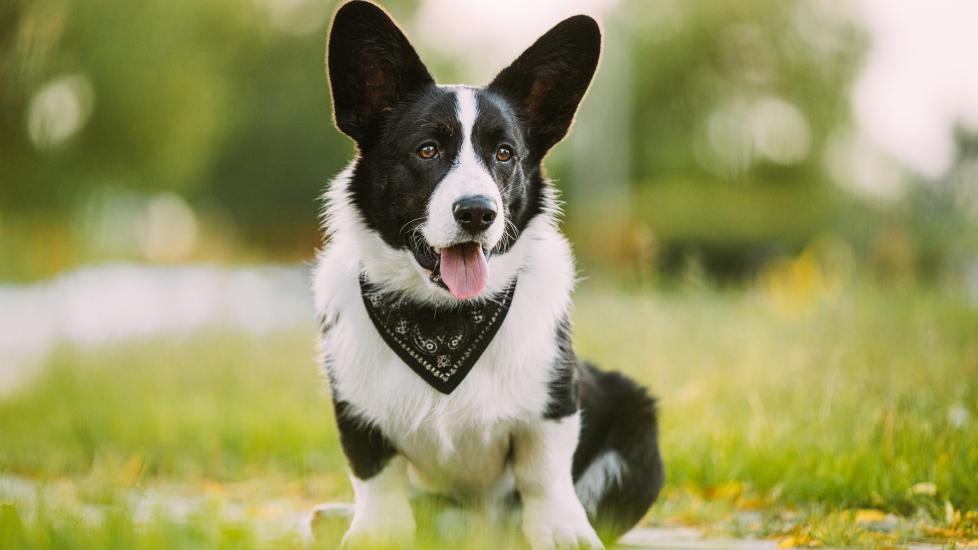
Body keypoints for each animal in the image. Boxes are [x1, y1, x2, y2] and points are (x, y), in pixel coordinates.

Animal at [312, 2, 664, 548]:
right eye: (427, 150)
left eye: (504, 154)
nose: (477, 212)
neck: (442, 318)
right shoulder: (355, 406)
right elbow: (376, 475)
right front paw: (377, 532)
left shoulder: (554, 400)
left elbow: (544, 471)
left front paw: (561, 531)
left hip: (639, 425)